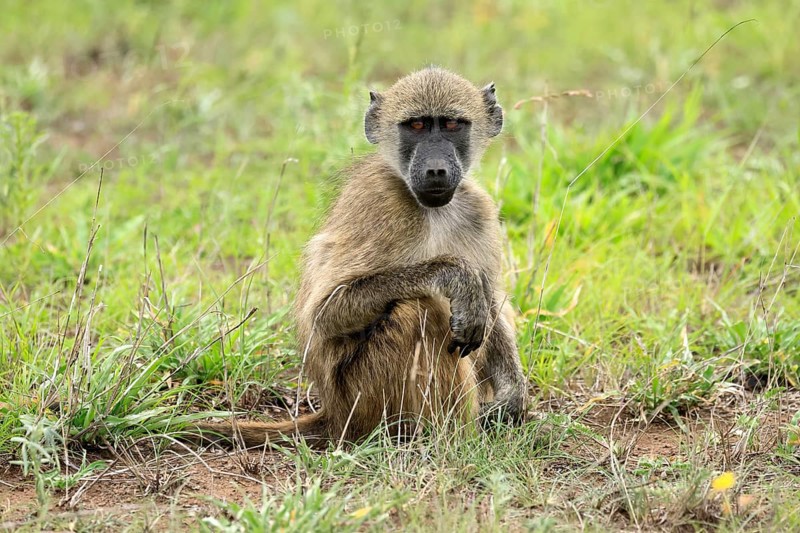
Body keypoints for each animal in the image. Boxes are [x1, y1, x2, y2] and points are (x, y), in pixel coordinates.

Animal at [195, 67, 527, 447]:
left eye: (452, 124)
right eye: (416, 125)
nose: (436, 170)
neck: (430, 208)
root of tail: (334, 414)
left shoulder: (478, 210)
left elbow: (492, 300)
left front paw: (512, 396)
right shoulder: (379, 204)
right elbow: (325, 311)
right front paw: (454, 275)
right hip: (363, 397)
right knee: (421, 310)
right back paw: (448, 437)